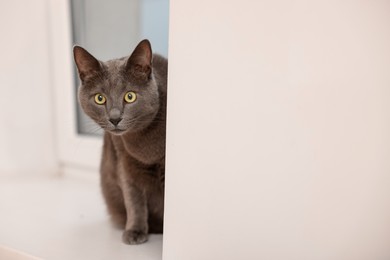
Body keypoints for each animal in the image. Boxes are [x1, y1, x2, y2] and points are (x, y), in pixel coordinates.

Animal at [73, 39, 166, 245]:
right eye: (100, 98)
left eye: (130, 96)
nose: (115, 118)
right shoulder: (123, 160)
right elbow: (133, 198)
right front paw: (135, 231)